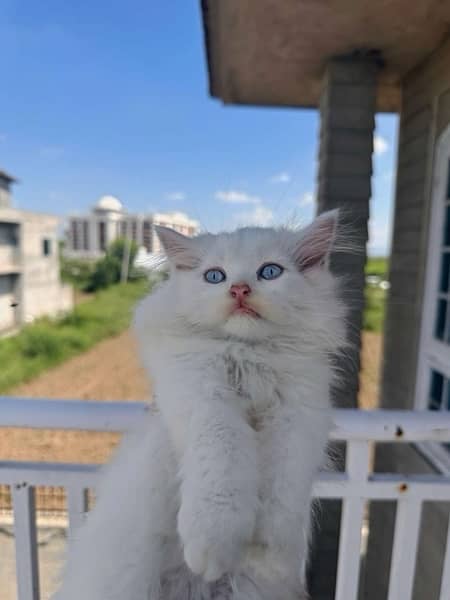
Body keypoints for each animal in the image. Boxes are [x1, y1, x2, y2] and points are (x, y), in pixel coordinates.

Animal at [54, 209, 346, 596]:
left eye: (270, 272)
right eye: (214, 276)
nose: (239, 289)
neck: (247, 358)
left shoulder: (297, 416)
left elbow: (280, 496)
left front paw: (267, 552)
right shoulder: (204, 398)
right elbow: (222, 473)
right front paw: (211, 550)